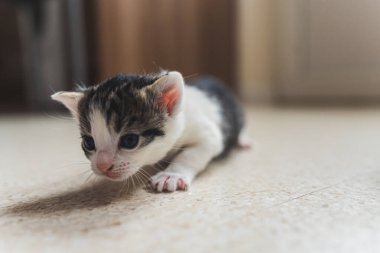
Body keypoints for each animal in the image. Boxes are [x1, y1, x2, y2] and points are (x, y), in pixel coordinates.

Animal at [51, 71, 246, 192]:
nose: (102, 166)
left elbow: (189, 155)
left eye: (130, 141)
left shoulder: (208, 134)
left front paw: (171, 175)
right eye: (88, 142)